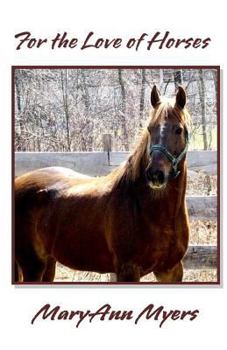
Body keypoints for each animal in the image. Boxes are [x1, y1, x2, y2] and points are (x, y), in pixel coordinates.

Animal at [14, 86, 190, 284]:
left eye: (178, 130)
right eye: (150, 129)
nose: (155, 174)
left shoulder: (170, 269)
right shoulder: (128, 270)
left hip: (48, 263)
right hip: (32, 265)